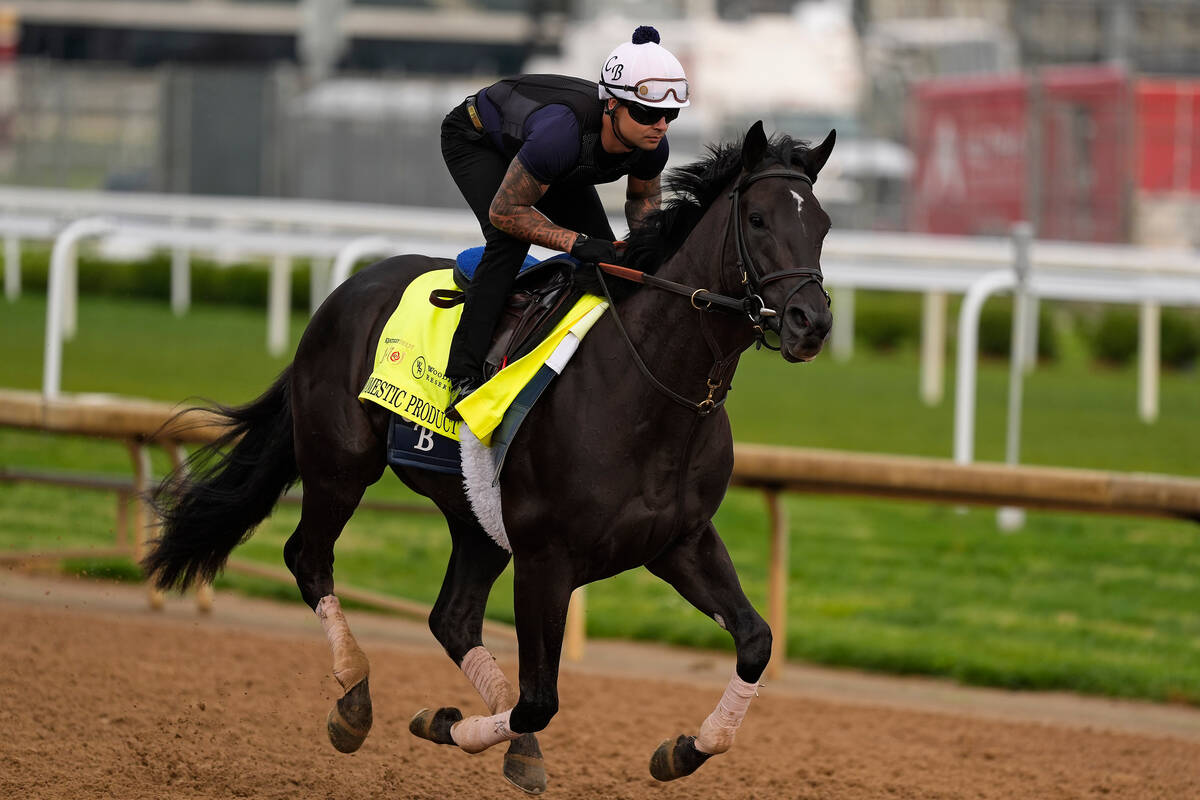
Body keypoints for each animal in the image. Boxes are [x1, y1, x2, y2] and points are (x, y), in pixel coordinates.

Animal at [142, 122, 835, 791]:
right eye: (758, 220)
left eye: (823, 225)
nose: (812, 322)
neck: (650, 387)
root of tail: (346, 291)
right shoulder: (546, 558)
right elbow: (539, 700)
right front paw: (443, 722)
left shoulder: (679, 541)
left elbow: (755, 641)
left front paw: (684, 749)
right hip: (340, 466)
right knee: (309, 560)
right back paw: (354, 702)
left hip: (475, 515)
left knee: (451, 618)